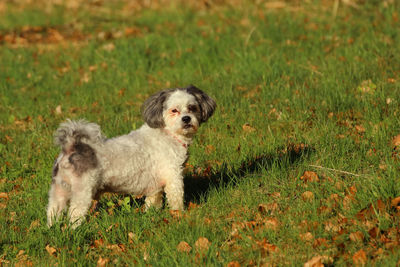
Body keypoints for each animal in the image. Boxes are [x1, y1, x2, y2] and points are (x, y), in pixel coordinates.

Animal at [46, 86, 216, 228]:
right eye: (174, 110)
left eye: (192, 108)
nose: (186, 118)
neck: (169, 134)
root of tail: (71, 147)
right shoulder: (173, 176)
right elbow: (176, 198)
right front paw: (179, 215)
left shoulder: (155, 186)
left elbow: (153, 202)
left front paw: (151, 216)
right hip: (82, 192)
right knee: (74, 214)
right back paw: (75, 229)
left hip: (59, 190)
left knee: (53, 210)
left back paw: (51, 229)